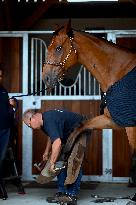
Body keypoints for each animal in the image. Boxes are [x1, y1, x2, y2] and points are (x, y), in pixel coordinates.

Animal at [42, 20, 136, 199]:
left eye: (58, 48)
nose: (46, 78)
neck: (120, 71)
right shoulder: (111, 119)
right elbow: (80, 126)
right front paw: (64, 156)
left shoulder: (131, 123)